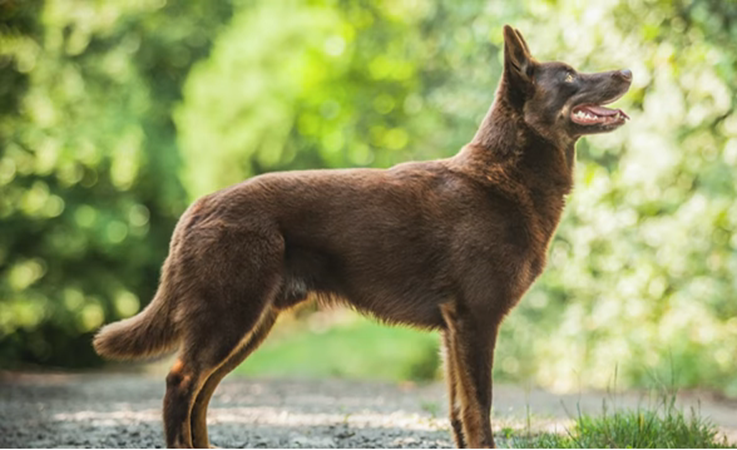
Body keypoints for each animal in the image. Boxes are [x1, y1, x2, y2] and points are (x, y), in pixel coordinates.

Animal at [95, 26, 628, 448]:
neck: (504, 176)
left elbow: (459, 413)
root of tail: (198, 207)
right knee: (180, 384)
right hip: (228, 315)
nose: (626, 71)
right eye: (570, 77)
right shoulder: (475, 322)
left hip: (249, 325)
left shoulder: (453, 332)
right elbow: (480, 411)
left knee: (201, 394)